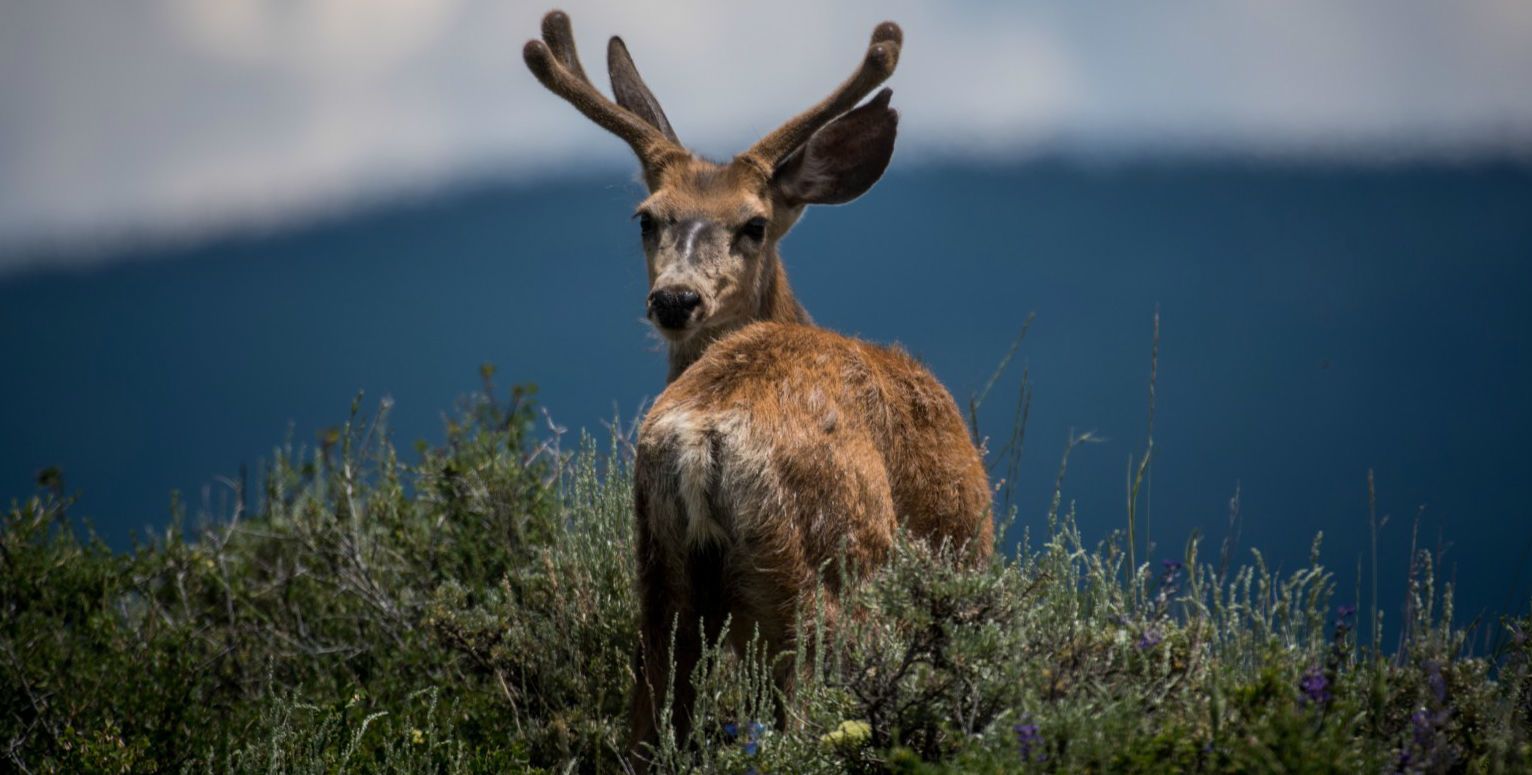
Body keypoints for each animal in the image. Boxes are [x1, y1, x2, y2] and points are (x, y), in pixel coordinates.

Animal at [520, 9, 992, 759]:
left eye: (754, 223)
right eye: (647, 217)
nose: (675, 299)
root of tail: (702, 437)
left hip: (660, 575)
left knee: (649, 726)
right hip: (823, 573)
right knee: (804, 722)